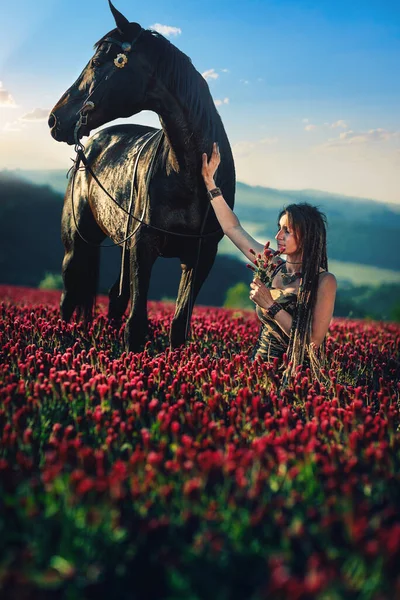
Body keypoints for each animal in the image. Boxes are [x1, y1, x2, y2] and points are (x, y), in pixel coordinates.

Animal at [48, 0, 236, 354]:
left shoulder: (200, 257)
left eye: (97, 61)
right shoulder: (142, 248)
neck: (187, 173)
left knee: (114, 298)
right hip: (77, 244)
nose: (54, 119)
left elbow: (178, 326)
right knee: (69, 296)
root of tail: (89, 146)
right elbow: (136, 326)